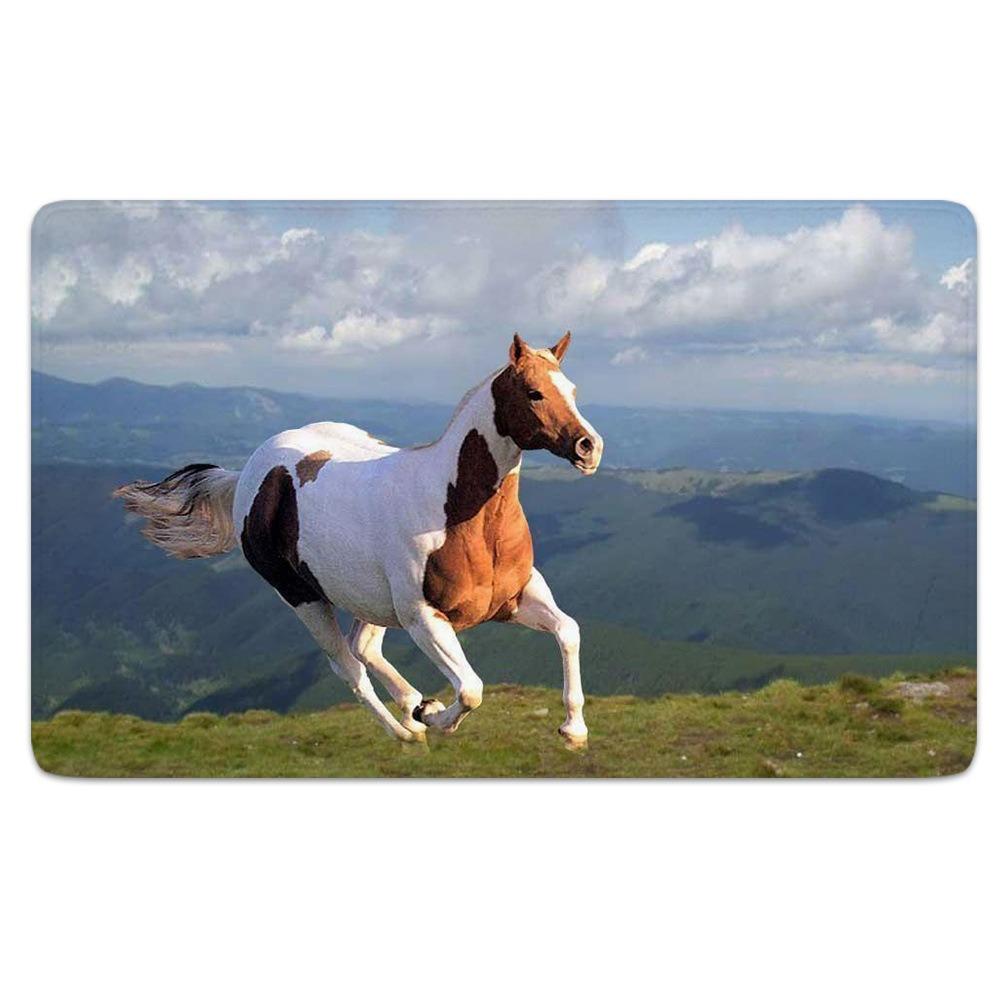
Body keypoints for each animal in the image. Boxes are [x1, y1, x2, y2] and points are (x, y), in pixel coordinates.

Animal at [114, 333, 604, 746]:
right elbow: (471, 689)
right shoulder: (423, 618)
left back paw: (412, 706)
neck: (456, 512)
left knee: (362, 647)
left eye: (573, 390)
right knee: (348, 666)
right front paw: (435, 717)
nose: (589, 447)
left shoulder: (517, 596)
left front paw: (573, 730)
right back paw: (408, 731)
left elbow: (569, 631)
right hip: (304, 598)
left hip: (369, 600)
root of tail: (248, 475)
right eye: (534, 392)